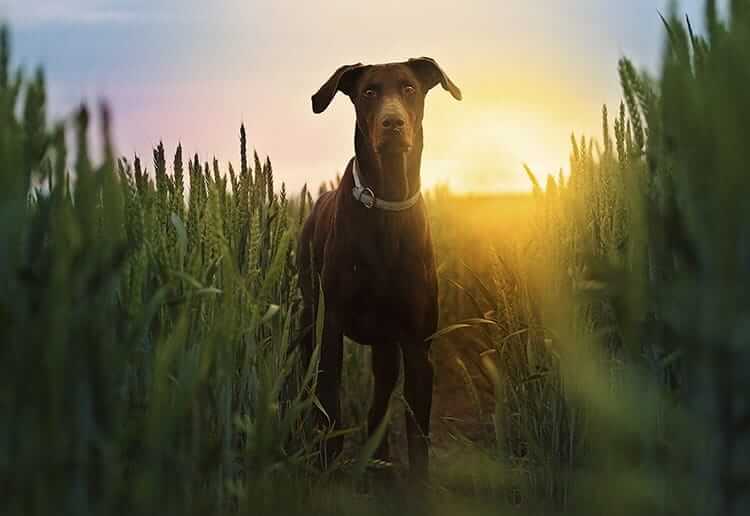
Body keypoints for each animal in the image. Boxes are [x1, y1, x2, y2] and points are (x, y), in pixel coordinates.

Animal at [296, 57, 462, 480]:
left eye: (409, 88)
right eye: (369, 91)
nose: (392, 123)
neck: (387, 202)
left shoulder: (418, 346)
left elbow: (417, 433)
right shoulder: (331, 328)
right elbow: (329, 401)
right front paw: (326, 461)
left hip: (386, 346)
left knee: (379, 402)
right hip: (307, 317)